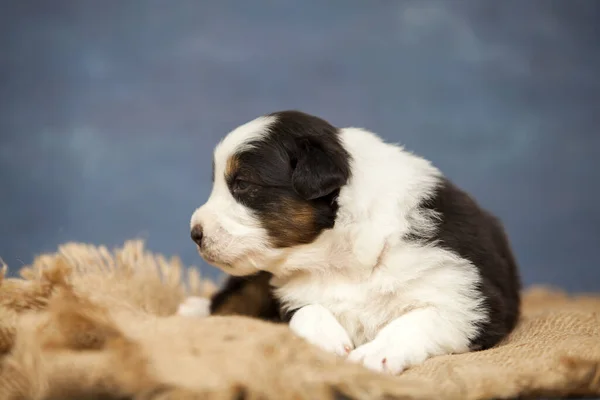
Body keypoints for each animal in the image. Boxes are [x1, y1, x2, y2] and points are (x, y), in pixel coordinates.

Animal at [184, 110, 520, 376]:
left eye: (242, 184)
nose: (194, 233)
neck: (340, 258)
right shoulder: (292, 292)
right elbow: (305, 310)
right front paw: (327, 340)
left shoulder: (470, 301)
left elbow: (416, 320)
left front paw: (375, 354)